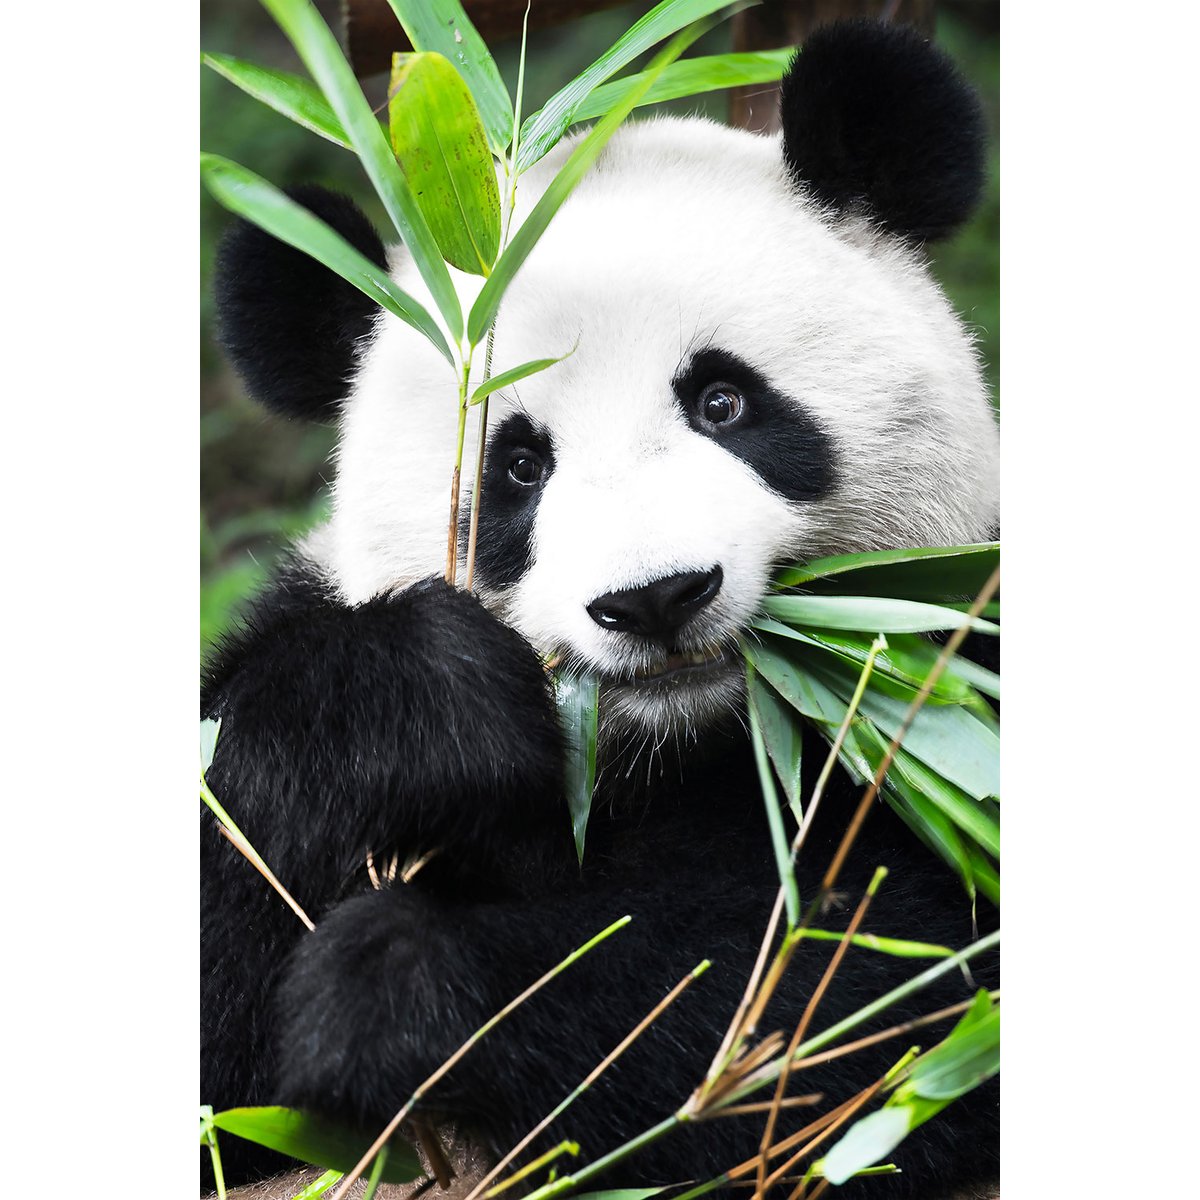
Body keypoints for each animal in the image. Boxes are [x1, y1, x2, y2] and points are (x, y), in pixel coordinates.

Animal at [202, 20, 999, 1200]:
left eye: (724, 401)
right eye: (518, 467)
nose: (655, 597)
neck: (673, 749)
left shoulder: (955, 675)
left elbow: (869, 986)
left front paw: (395, 985)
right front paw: (423, 707)